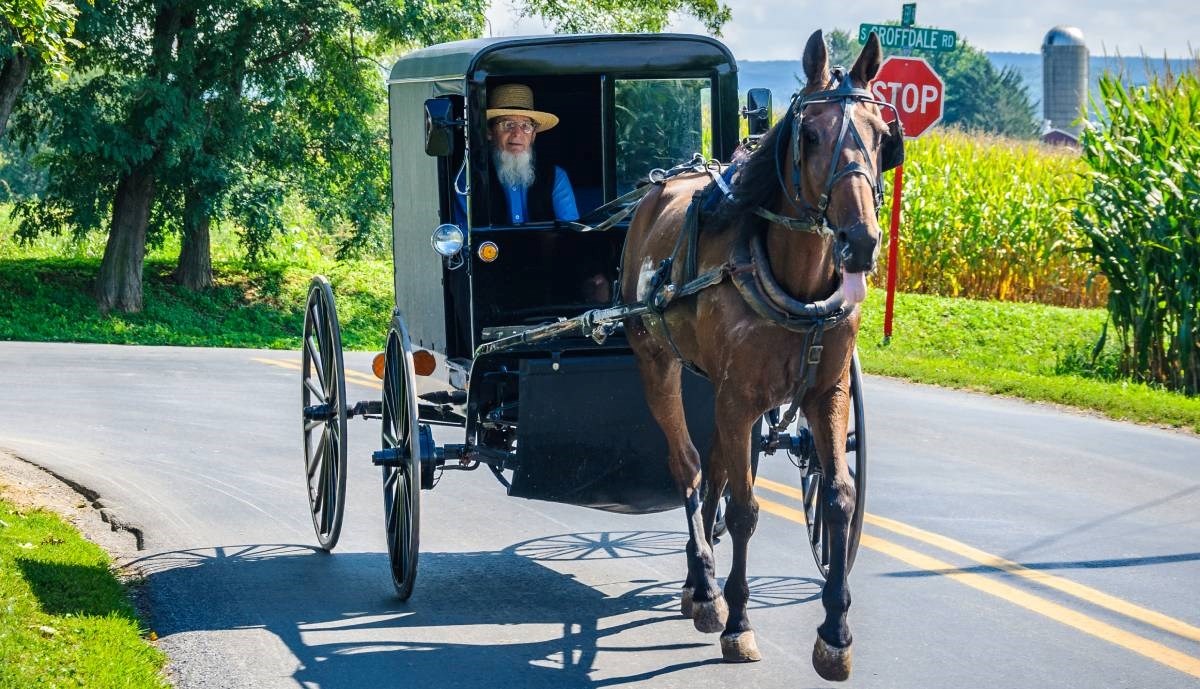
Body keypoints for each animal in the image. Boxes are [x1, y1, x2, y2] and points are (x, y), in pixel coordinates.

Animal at [619, 31, 902, 681]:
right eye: (811, 135)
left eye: (882, 134)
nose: (861, 241)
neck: (797, 283)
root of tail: (659, 186)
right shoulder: (739, 396)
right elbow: (746, 507)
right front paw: (739, 623)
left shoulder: (827, 393)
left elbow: (838, 496)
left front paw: (835, 633)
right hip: (658, 363)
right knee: (689, 466)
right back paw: (704, 587)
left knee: (716, 466)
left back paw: (700, 580)